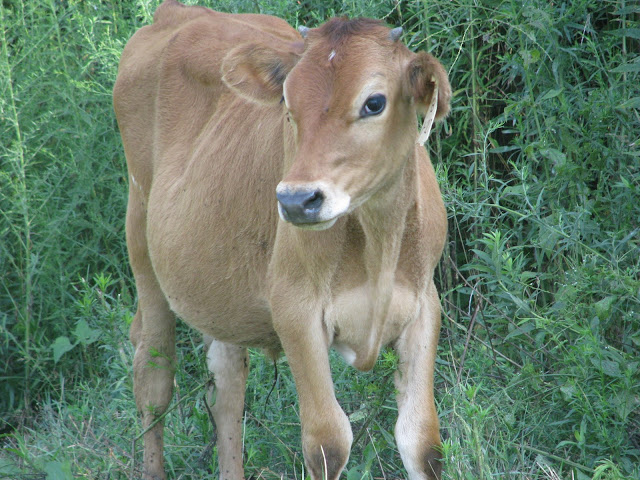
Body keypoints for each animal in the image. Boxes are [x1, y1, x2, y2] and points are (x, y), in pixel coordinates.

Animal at [113, 0, 451, 479]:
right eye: (288, 105)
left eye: (374, 102)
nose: (296, 200)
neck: (379, 239)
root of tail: (177, 12)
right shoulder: (295, 310)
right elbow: (327, 442)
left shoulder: (424, 305)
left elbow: (422, 442)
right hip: (141, 234)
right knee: (153, 378)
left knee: (227, 389)